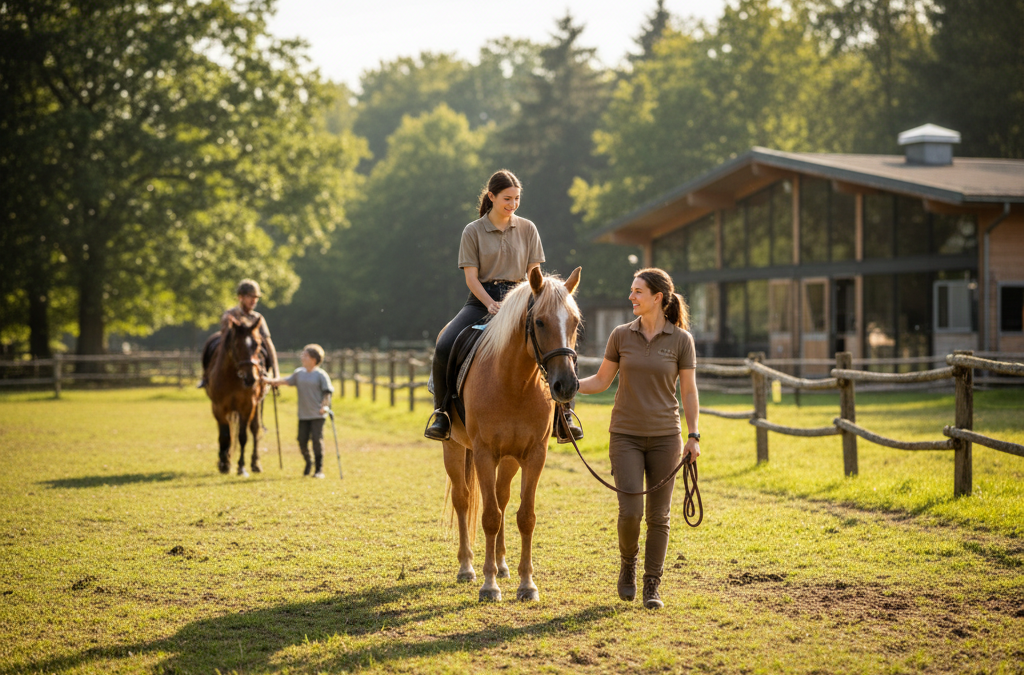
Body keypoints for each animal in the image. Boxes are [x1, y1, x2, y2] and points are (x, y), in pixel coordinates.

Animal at [203, 315, 268, 476]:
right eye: (237, 344)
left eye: (257, 344)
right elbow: (225, 436)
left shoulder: (248, 407)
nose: (251, 378)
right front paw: (224, 463)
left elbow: (242, 436)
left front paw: (241, 467)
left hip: (257, 406)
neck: (232, 377)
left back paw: (255, 464)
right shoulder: (218, 408)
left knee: (255, 430)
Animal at [443, 266, 582, 602]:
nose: (566, 385)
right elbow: (489, 517)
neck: (513, 383)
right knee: (463, 499)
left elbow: (524, 516)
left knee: (502, 498)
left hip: (508, 459)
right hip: (453, 447)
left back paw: (502, 565)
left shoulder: (534, 455)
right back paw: (467, 567)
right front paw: (489, 585)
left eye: (574, 322)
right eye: (540, 321)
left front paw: (526, 584)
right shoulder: (483, 453)